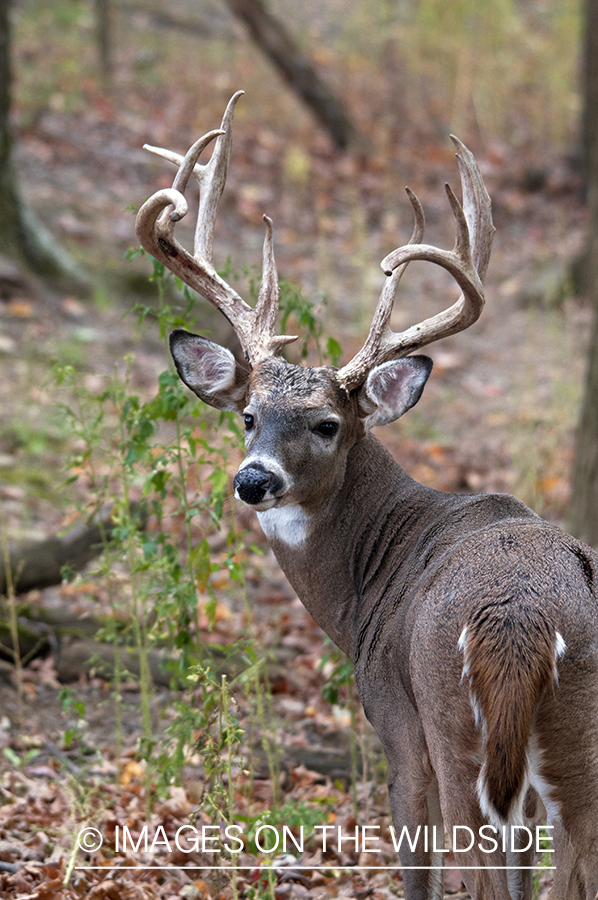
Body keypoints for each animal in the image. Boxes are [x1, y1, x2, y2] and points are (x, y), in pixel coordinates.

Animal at [136, 93, 598, 900]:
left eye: (327, 424)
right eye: (248, 414)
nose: (254, 480)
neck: (363, 591)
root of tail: (525, 622)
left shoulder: (397, 730)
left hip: (455, 732)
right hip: (578, 750)